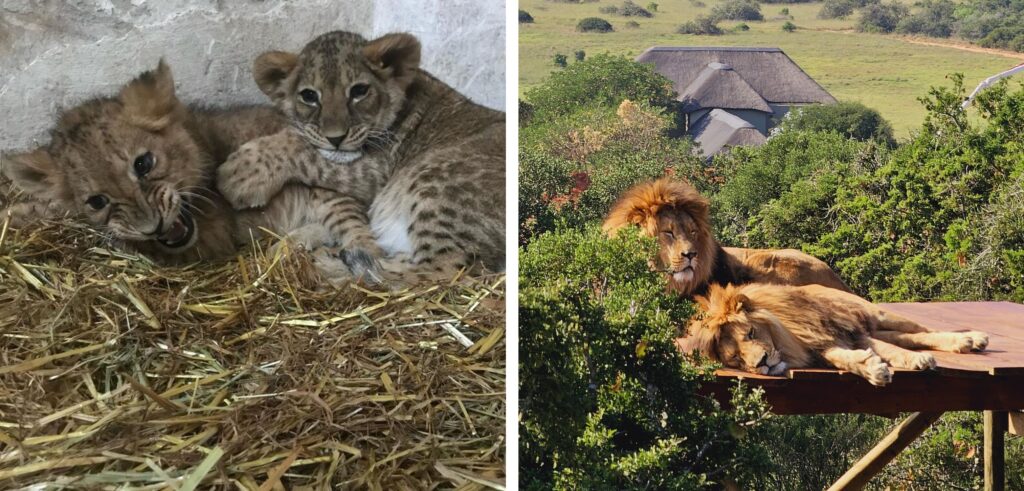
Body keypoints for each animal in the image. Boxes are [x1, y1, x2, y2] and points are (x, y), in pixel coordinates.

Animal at [684, 282, 987, 385]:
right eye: (735, 359)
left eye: (749, 333)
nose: (761, 363)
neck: (790, 338)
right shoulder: (823, 346)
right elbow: (844, 359)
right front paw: (872, 369)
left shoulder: (845, 330)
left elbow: (891, 350)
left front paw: (918, 361)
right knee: (909, 338)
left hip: (873, 313)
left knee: (923, 331)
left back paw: (970, 339)